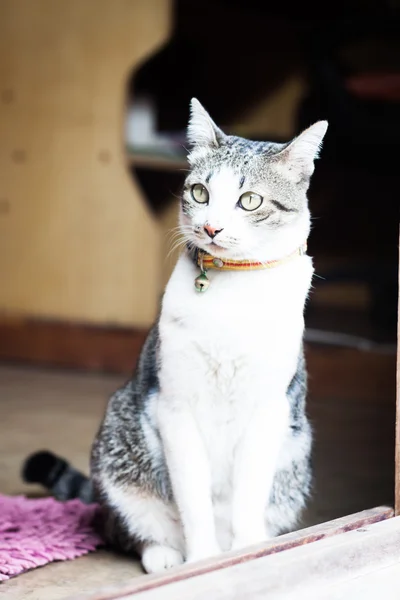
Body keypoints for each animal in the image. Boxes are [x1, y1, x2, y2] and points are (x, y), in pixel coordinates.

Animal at [22, 99, 328, 576]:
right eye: (200, 193)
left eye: (250, 200)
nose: (212, 229)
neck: (231, 292)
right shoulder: (175, 406)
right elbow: (193, 501)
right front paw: (201, 563)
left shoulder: (268, 410)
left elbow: (247, 498)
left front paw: (246, 556)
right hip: (120, 441)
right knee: (125, 526)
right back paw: (165, 556)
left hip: (296, 454)